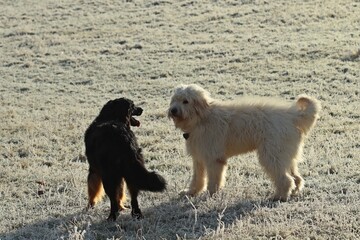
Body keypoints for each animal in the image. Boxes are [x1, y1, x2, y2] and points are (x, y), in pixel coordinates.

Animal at [169, 84, 320, 201]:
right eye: (174, 100)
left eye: (186, 101)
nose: (173, 110)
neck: (202, 118)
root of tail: (292, 116)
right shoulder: (199, 158)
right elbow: (198, 178)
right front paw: (190, 192)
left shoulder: (214, 159)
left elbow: (214, 180)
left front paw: (211, 195)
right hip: (285, 154)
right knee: (296, 177)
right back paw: (293, 192)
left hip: (272, 154)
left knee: (286, 179)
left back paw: (279, 196)